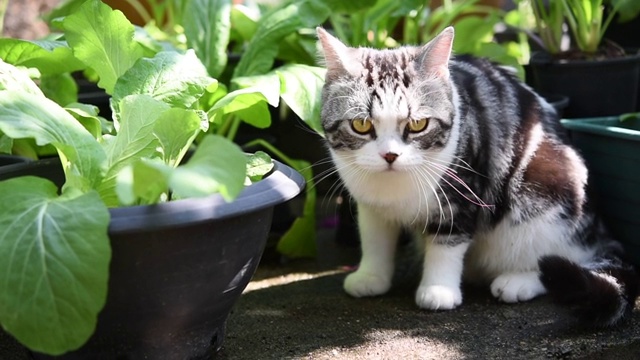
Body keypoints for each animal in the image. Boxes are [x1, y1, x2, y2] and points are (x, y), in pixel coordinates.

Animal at [318, 27, 636, 326]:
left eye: (418, 124)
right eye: (361, 125)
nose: (389, 155)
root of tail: (599, 231)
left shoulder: (463, 191)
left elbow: (447, 243)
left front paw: (438, 290)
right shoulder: (370, 204)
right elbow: (374, 238)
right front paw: (370, 277)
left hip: (547, 196)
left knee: (558, 258)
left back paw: (518, 281)